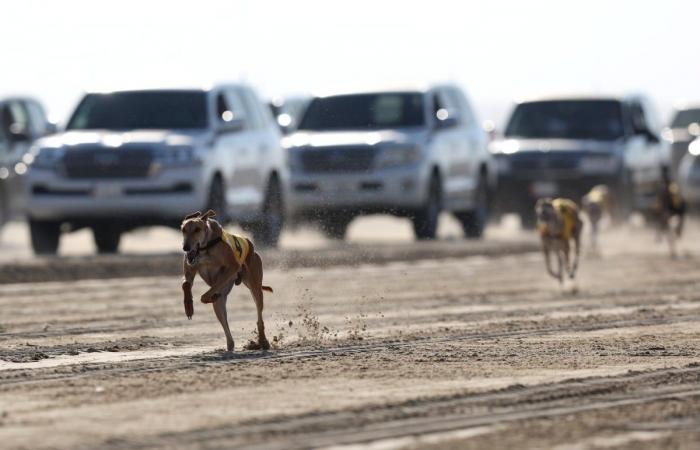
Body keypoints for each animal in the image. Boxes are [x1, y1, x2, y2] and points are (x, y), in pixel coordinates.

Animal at [182, 211, 272, 352]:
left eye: (197, 229)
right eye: (183, 230)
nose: (185, 247)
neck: (205, 247)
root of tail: (250, 244)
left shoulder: (232, 268)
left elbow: (206, 294)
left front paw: (208, 297)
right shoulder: (191, 268)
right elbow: (186, 284)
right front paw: (188, 306)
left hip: (255, 287)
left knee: (259, 317)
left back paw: (262, 341)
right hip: (222, 303)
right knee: (226, 326)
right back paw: (230, 345)